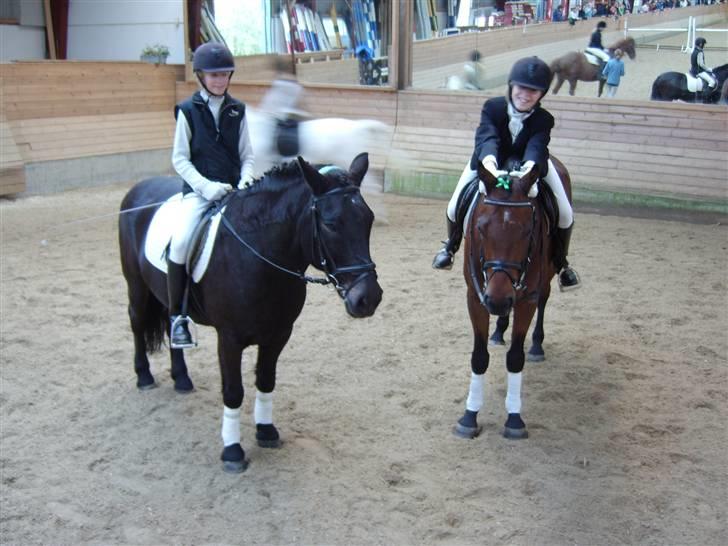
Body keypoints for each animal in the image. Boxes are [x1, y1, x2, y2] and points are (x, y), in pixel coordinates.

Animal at [116, 154, 384, 472]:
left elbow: (266, 380)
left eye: (368, 220)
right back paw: (144, 376)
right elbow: (233, 391)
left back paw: (181, 379)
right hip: (136, 285)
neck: (260, 256)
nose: (368, 298)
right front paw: (232, 451)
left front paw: (266, 431)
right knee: (136, 322)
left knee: (172, 326)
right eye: (331, 224)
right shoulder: (229, 339)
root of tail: (138, 189)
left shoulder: (279, 334)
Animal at [452, 154, 572, 438]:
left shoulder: (526, 299)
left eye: (528, 231)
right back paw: (498, 332)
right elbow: (479, 357)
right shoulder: (476, 296)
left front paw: (514, 419)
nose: (497, 299)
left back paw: (537, 345)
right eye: (480, 228)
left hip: (546, 277)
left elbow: (516, 358)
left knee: (544, 300)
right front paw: (469, 416)